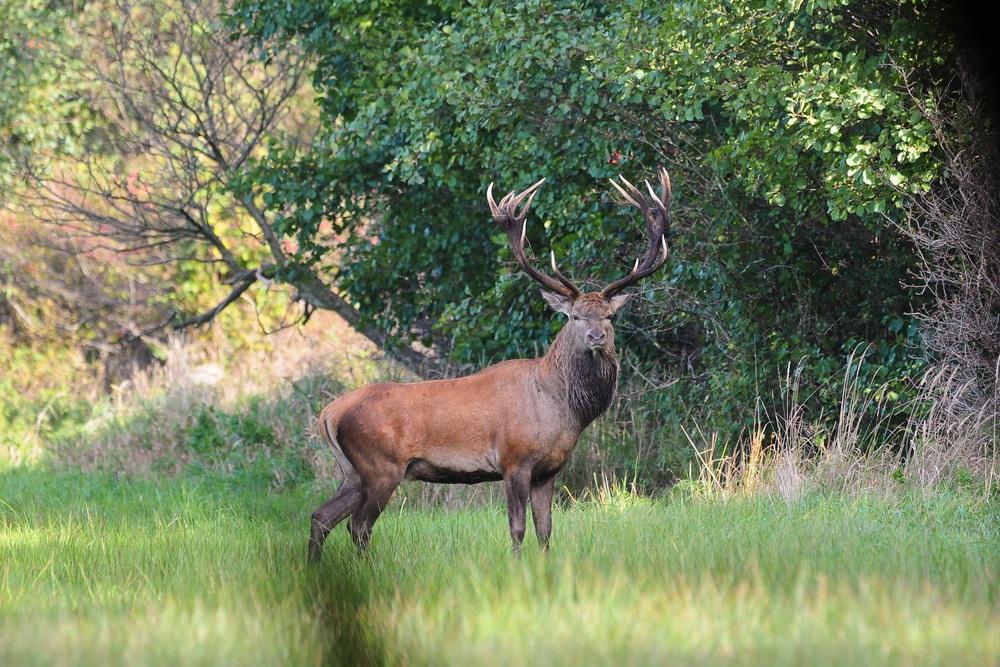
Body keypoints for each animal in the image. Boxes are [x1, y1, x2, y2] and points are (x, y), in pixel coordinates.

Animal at [308, 168, 671, 562]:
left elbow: (546, 530)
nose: (596, 337)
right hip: (380, 467)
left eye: (609, 315)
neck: (562, 408)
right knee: (358, 526)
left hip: (352, 472)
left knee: (321, 517)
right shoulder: (514, 460)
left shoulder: (549, 470)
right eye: (574, 316)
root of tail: (328, 413)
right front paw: (516, 568)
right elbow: (518, 528)